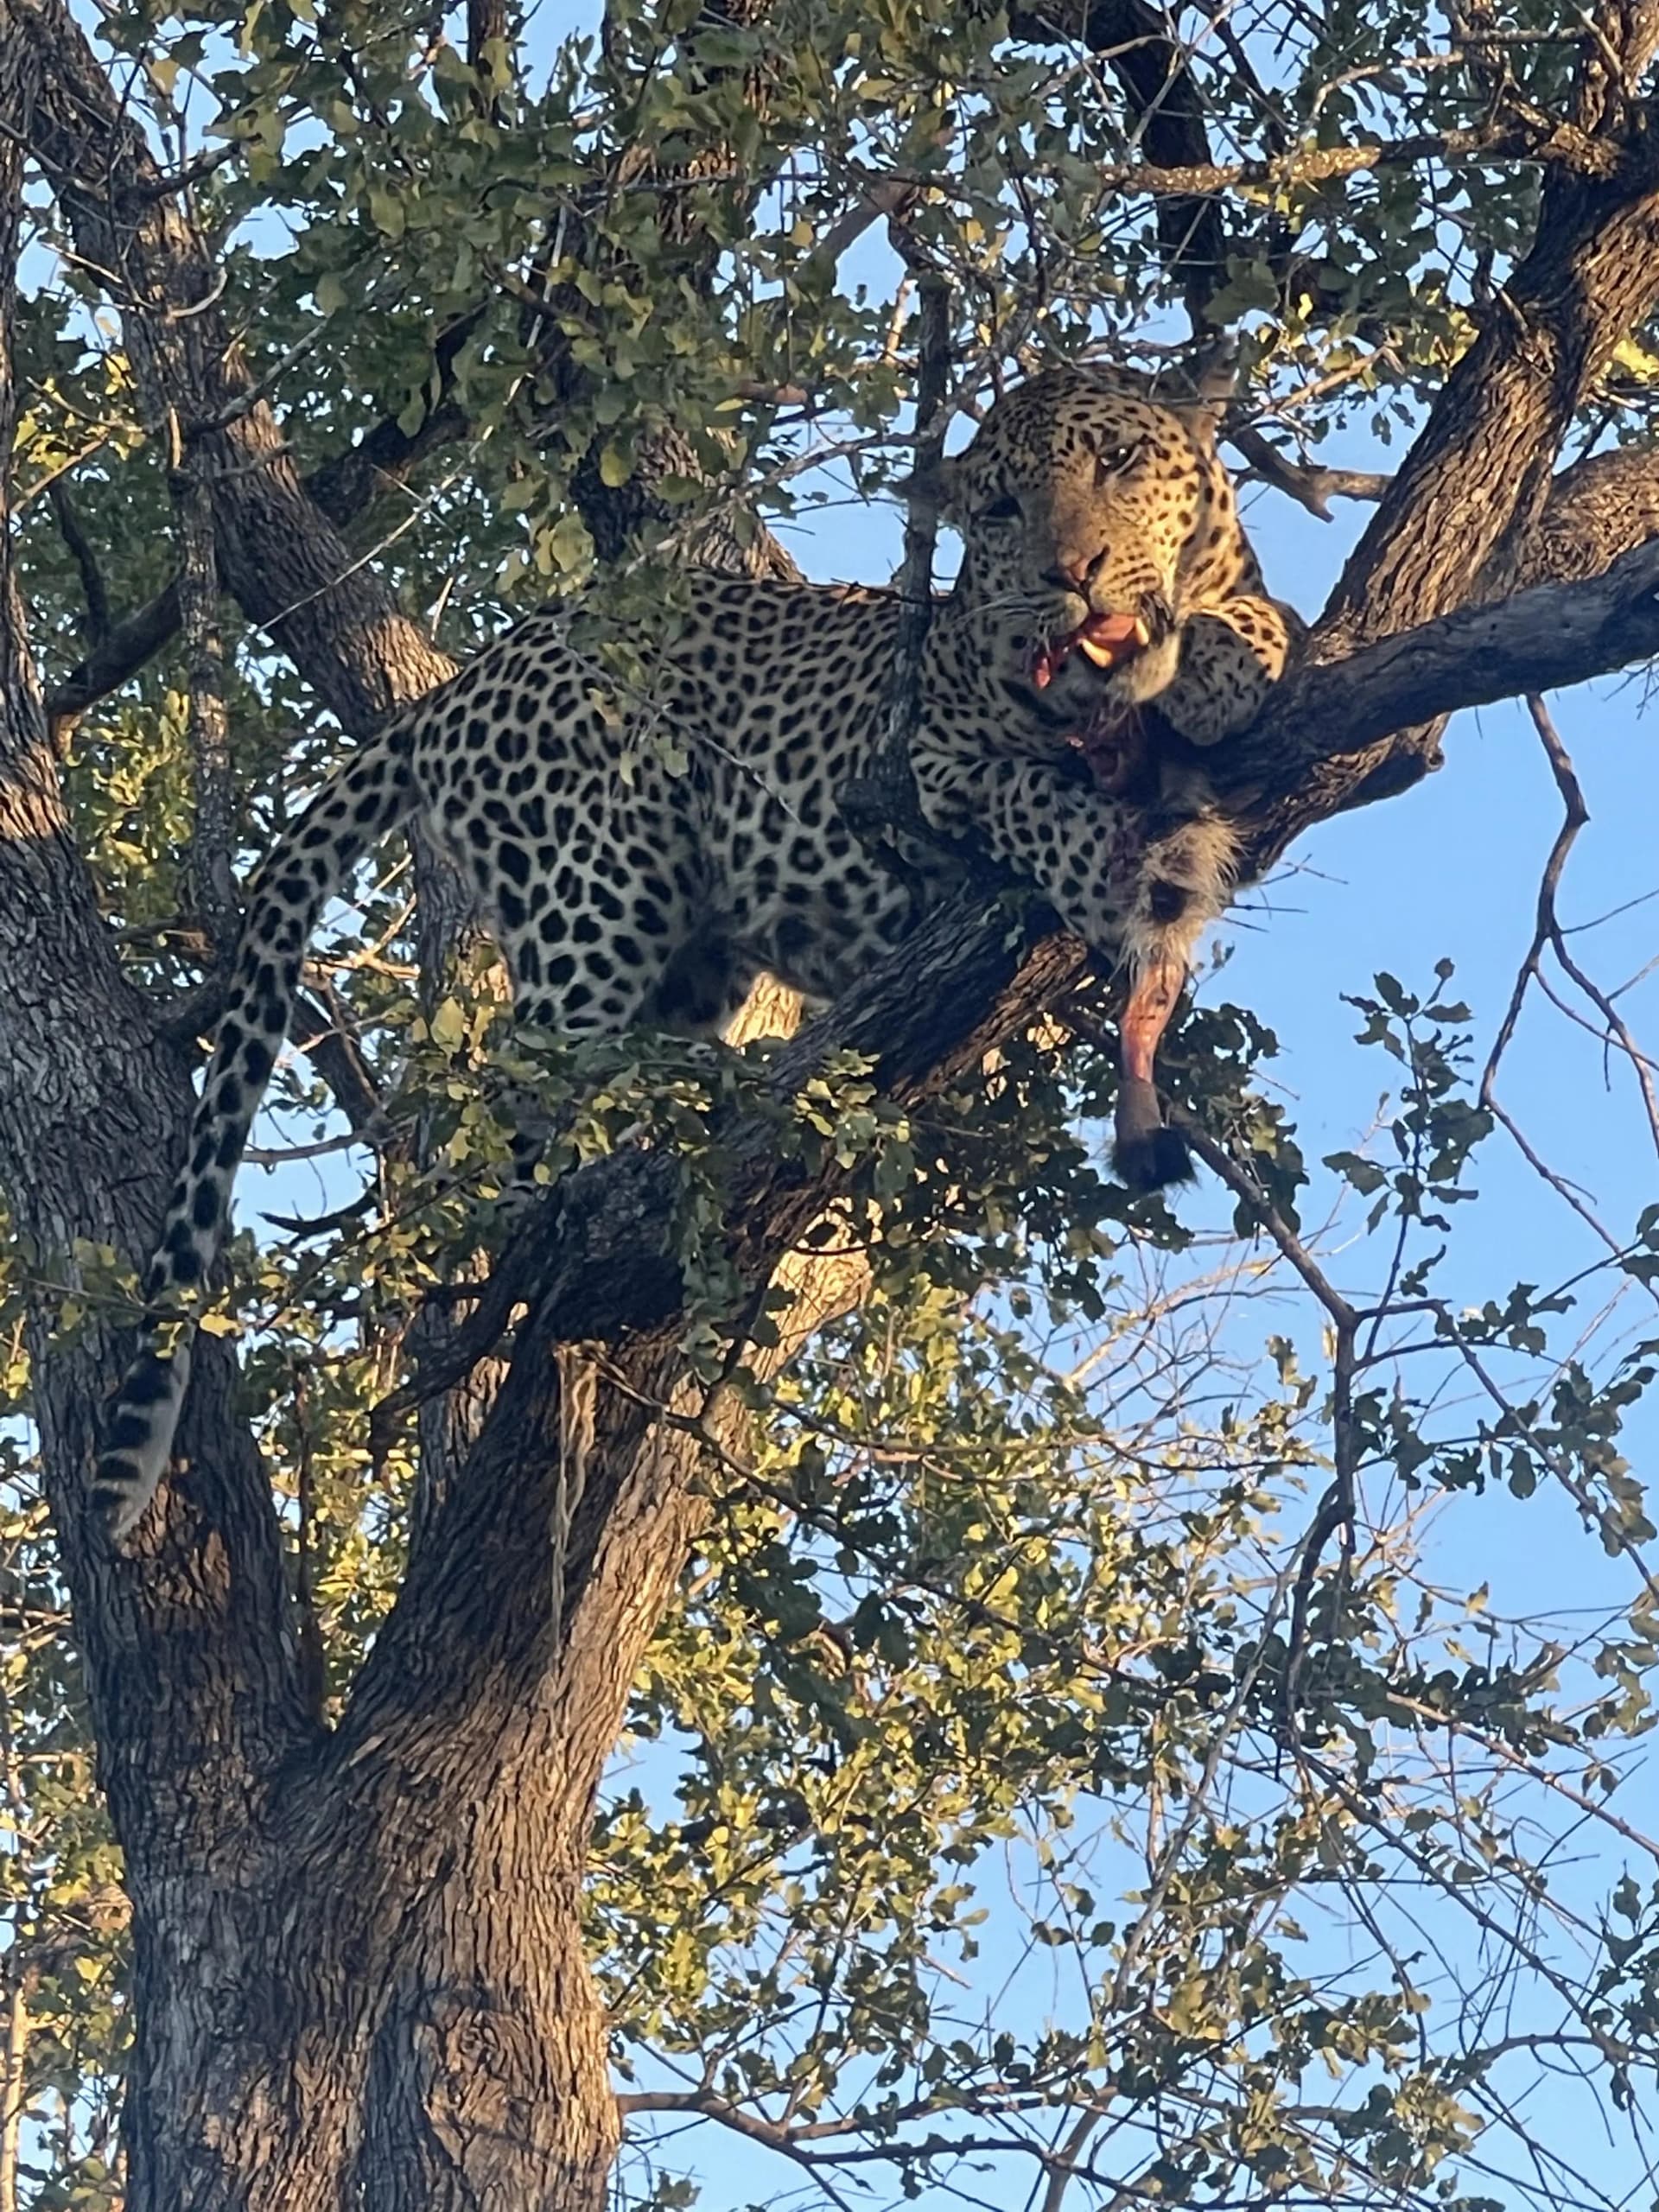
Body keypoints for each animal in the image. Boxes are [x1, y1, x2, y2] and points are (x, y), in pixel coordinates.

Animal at [93, 360, 1300, 1542]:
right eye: (1002, 509)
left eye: (1121, 460)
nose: (1075, 575)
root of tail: (466, 676)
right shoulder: (925, 767)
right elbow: (1026, 797)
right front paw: (1125, 867)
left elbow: (1262, 621)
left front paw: (1224, 661)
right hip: (601, 886)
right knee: (521, 1090)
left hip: (688, 957)